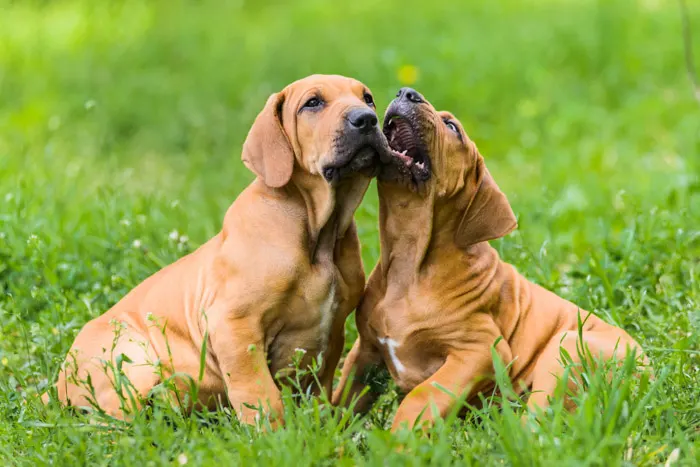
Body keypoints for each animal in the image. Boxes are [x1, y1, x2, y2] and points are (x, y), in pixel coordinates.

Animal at [46, 75, 392, 426]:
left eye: (367, 98)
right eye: (313, 103)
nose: (367, 119)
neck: (318, 234)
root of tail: (57, 384)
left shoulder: (333, 334)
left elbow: (319, 390)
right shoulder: (233, 324)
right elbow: (259, 393)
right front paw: (272, 432)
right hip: (133, 357)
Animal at [332, 87, 644, 432]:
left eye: (452, 127)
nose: (407, 92)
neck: (409, 262)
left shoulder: (481, 350)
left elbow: (422, 395)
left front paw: (398, 439)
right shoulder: (366, 349)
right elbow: (343, 397)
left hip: (565, 346)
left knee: (535, 423)